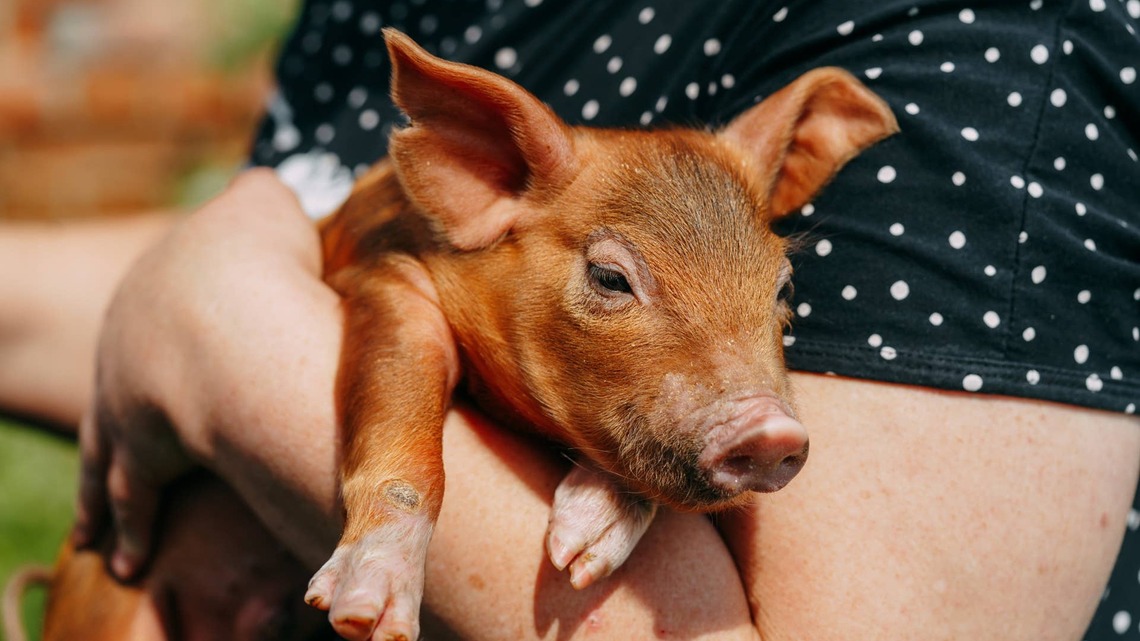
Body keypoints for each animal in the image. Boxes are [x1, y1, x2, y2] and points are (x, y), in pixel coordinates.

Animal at [306, 29, 897, 641]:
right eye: (610, 277)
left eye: (783, 286)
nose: (772, 430)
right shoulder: (392, 278)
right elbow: (403, 415)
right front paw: (365, 618)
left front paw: (576, 560)